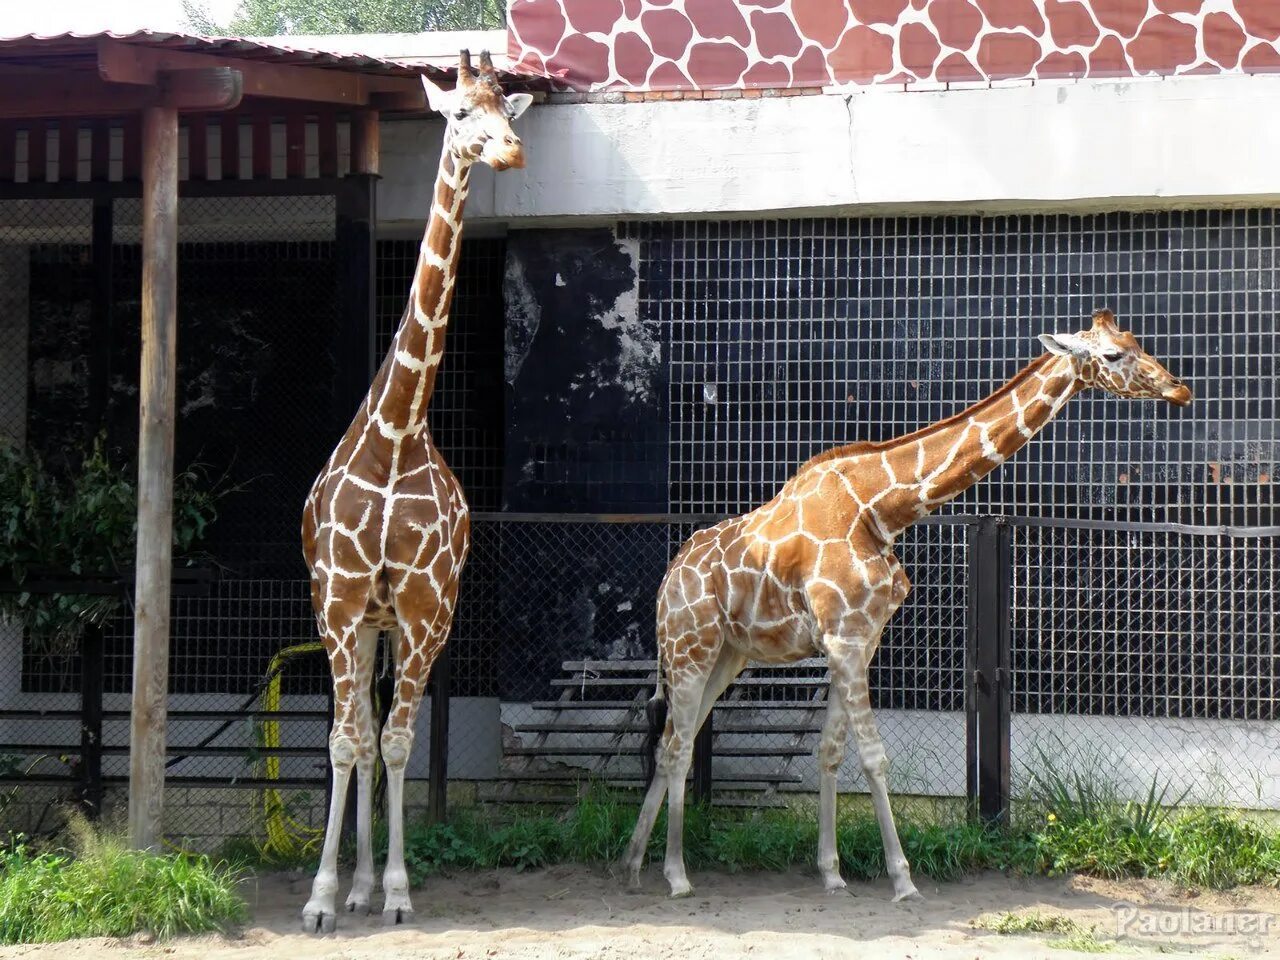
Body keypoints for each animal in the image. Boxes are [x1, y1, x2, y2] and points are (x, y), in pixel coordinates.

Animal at [299, 50, 529, 931]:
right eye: (460, 114)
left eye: (507, 110)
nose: (510, 153)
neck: (397, 430)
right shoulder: (337, 603)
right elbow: (344, 741)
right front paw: (319, 899)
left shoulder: (428, 610)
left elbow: (395, 743)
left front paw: (394, 889)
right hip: (362, 620)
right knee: (358, 728)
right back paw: (348, 887)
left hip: (392, 623)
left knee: (378, 729)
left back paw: (369, 885)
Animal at [619, 312, 1187, 906]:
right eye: (1114, 356)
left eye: (1136, 341)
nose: (1180, 389)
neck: (884, 510)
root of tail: (667, 581)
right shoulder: (845, 640)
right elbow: (873, 756)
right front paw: (903, 878)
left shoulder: (860, 640)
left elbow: (830, 751)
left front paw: (832, 874)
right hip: (689, 647)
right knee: (680, 747)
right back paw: (675, 874)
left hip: (727, 656)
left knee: (671, 742)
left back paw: (633, 865)